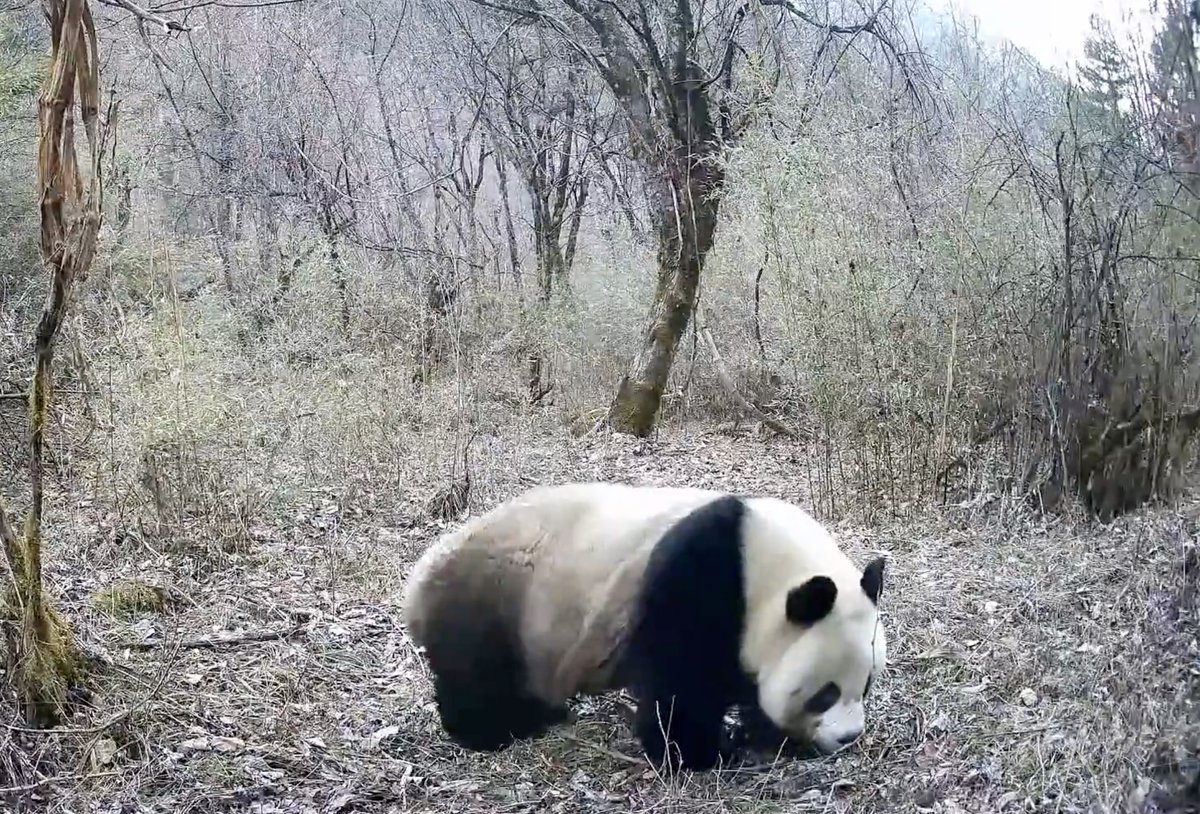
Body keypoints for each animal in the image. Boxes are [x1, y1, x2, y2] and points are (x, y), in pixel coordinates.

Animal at [401, 482, 887, 771]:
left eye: (864, 685)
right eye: (825, 693)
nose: (849, 736)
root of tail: (419, 579)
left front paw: (769, 734)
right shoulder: (701, 580)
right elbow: (681, 680)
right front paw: (704, 753)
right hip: (493, 602)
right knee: (477, 678)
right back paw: (506, 728)